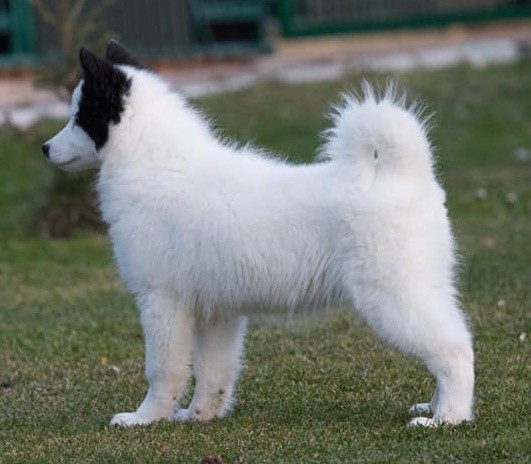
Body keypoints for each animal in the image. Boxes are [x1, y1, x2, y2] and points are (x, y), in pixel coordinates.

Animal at [42, 41, 474, 426]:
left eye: (79, 117)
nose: (45, 148)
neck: (155, 165)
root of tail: (405, 174)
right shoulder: (216, 311)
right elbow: (213, 372)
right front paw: (199, 416)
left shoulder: (161, 301)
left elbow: (163, 371)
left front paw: (144, 418)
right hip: (420, 290)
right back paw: (435, 406)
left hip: (392, 297)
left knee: (455, 349)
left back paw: (447, 418)